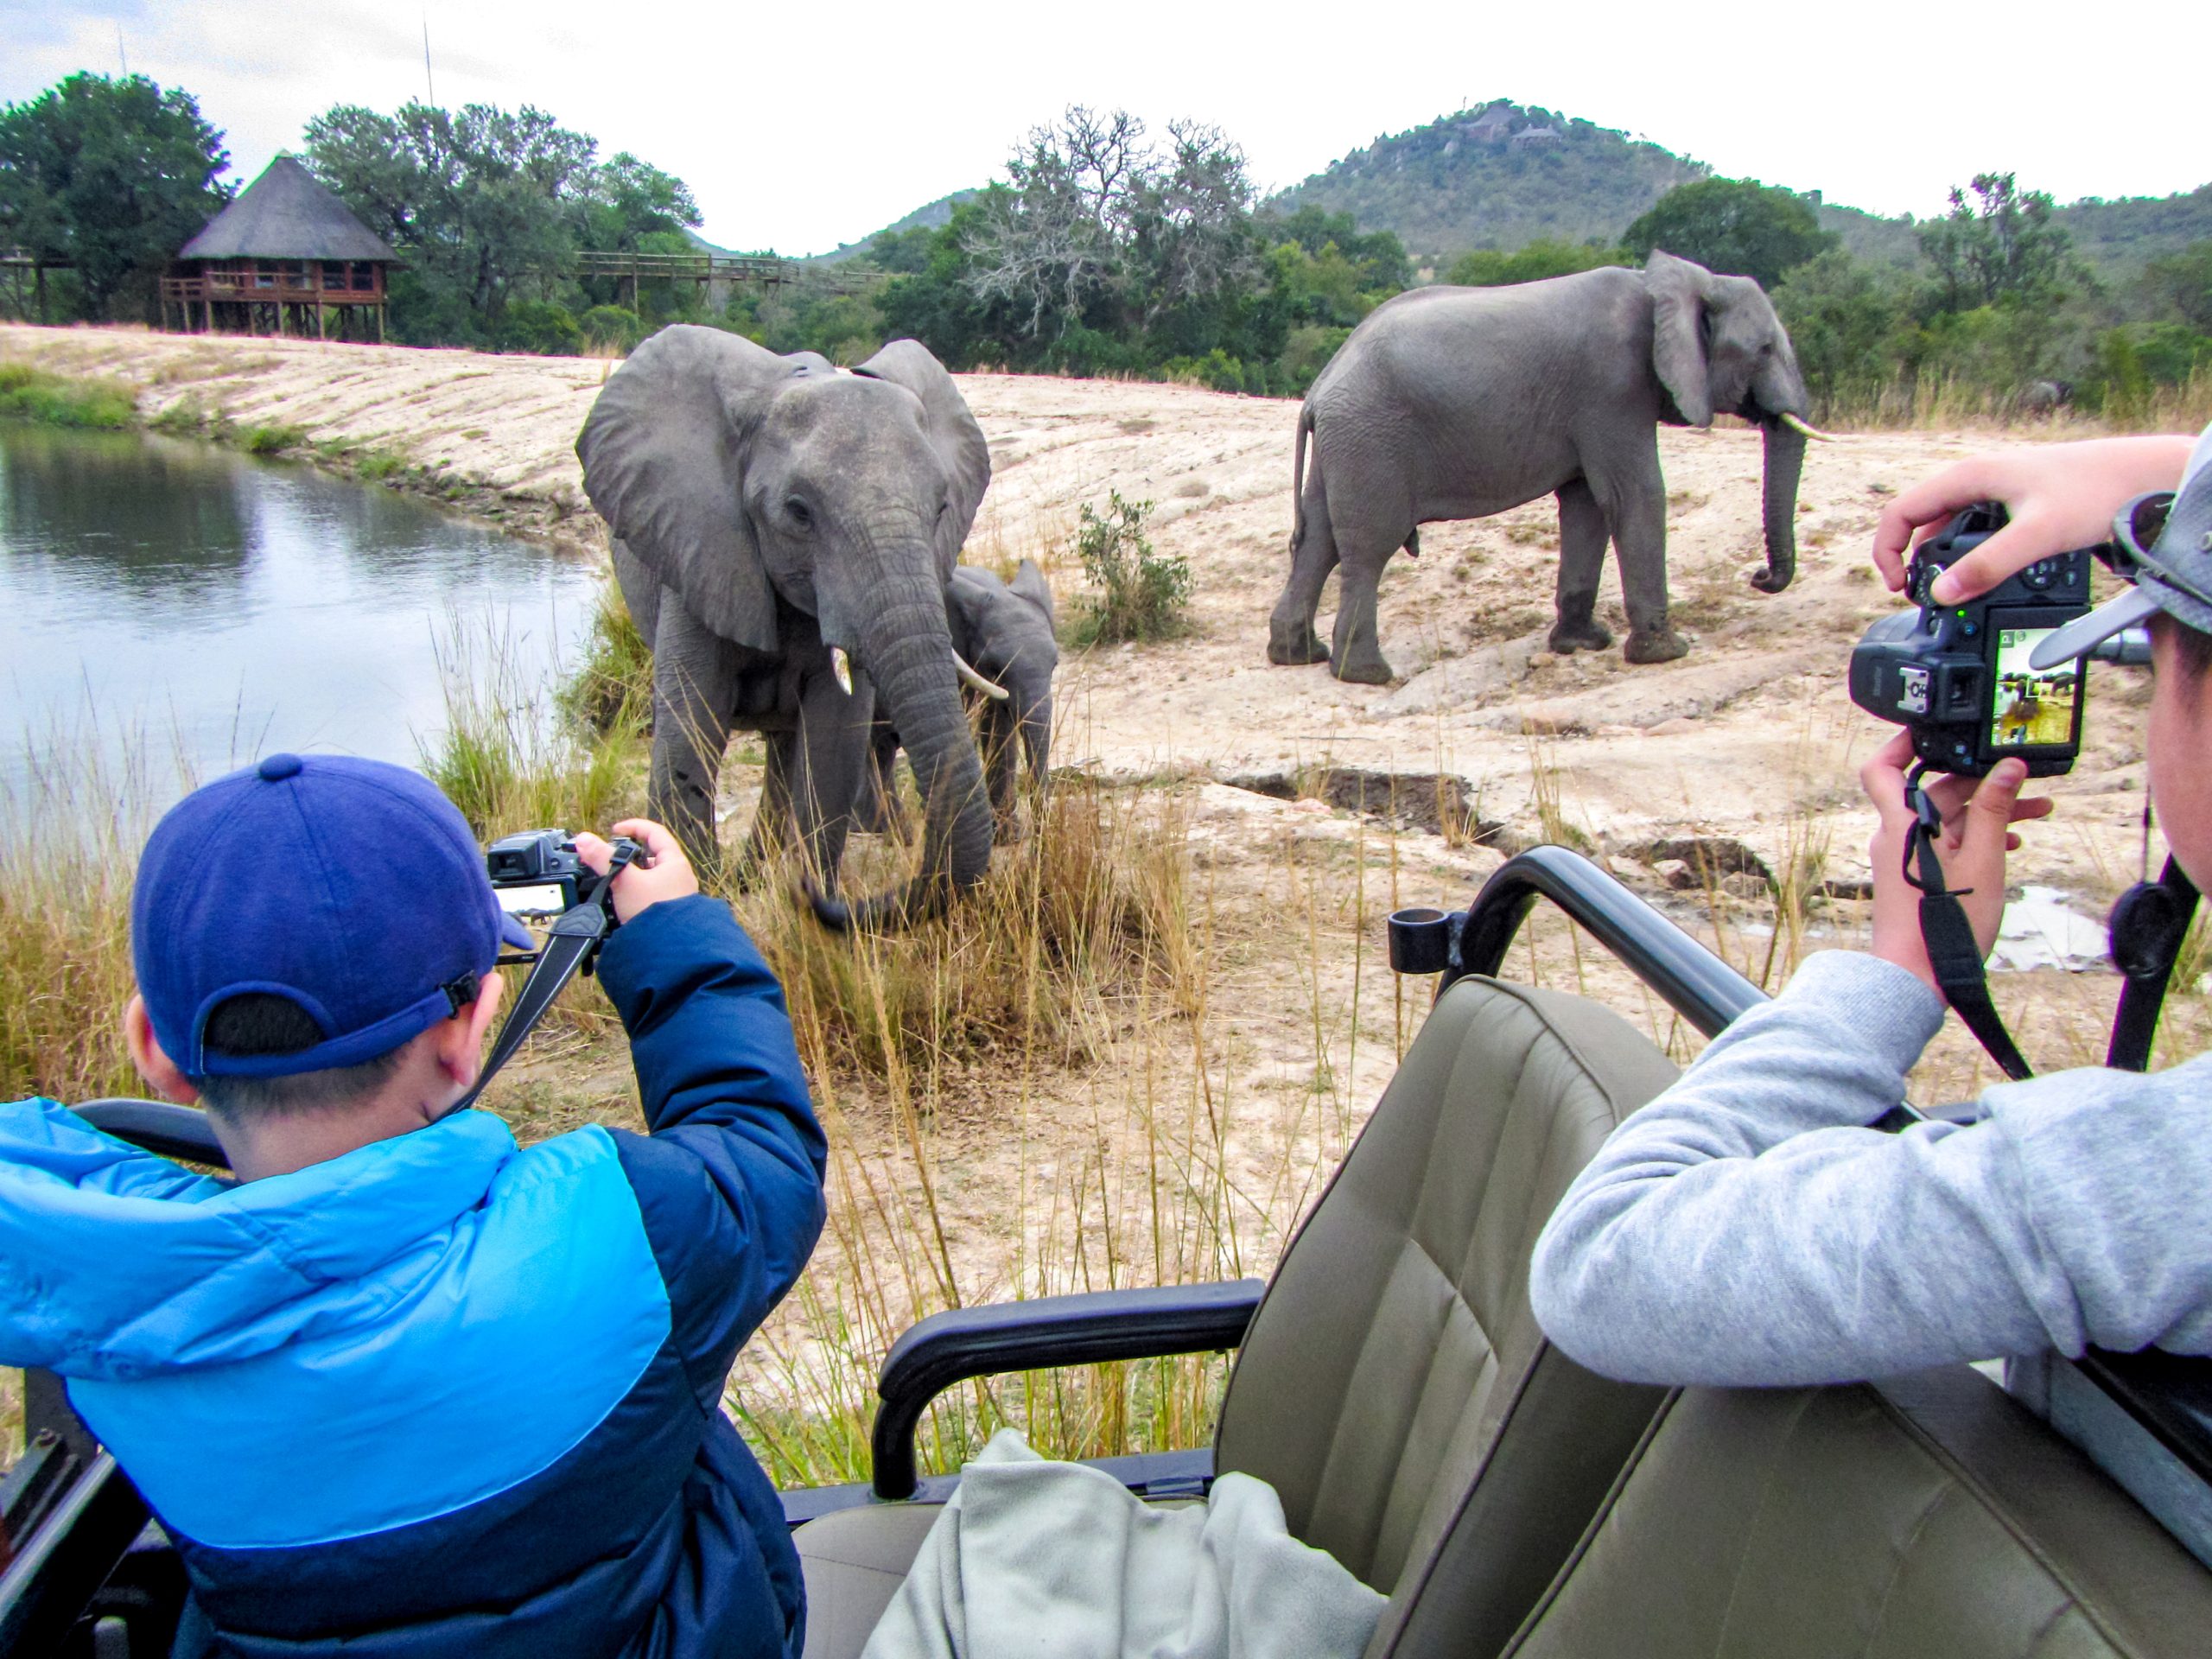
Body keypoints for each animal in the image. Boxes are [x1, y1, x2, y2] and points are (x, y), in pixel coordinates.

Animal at [576, 324, 1002, 931]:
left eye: (943, 507)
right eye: (799, 513)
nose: (812, 895)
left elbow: (830, 741)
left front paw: (798, 892)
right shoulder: (701, 544)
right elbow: (689, 730)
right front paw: (705, 891)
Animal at [859, 559, 1058, 841]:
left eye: (1055, 665)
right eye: (995, 668)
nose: (1042, 842)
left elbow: (998, 730)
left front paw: (1009, 837)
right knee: (880, 746)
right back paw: (896, 834)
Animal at [1265, 251, 1828, 684]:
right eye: (1765, 349)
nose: (1759, 576)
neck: (1677, 282)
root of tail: (1319, 387)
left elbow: (1588, 506)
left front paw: (1582, 645)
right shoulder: (1614, 386)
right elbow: (1635, 495)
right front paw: (1666, 653)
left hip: (1347, 441)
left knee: (1318, 540)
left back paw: (1299, 657)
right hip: (1371, 438)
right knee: (1367, 548)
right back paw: (1366, 676)